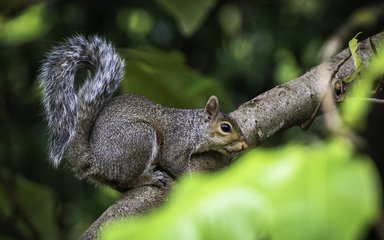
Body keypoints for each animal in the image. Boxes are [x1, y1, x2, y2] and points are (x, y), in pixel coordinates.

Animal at [38, 34, 249, 191]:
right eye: (225, 127)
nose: (245, 143)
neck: (193, 126)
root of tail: (96, 161)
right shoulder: (177, 142)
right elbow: (173, 161)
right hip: (139, 138)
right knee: (127, 180)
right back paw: (148, 178)